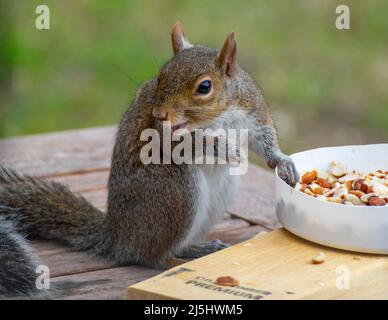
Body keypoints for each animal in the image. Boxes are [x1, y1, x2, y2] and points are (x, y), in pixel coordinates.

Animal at [0, 22, 298, 298]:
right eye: (160, 77)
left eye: (204, 87)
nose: (160, 113)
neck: (217, 115)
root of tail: (118, 237)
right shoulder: (162, 134)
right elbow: (185, 144)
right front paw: (224, 146)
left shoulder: (253, 112)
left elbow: (264, 139)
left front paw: (282, 162)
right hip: (176, 192)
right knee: (151, 256)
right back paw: (176, 264)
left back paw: (199, 248)